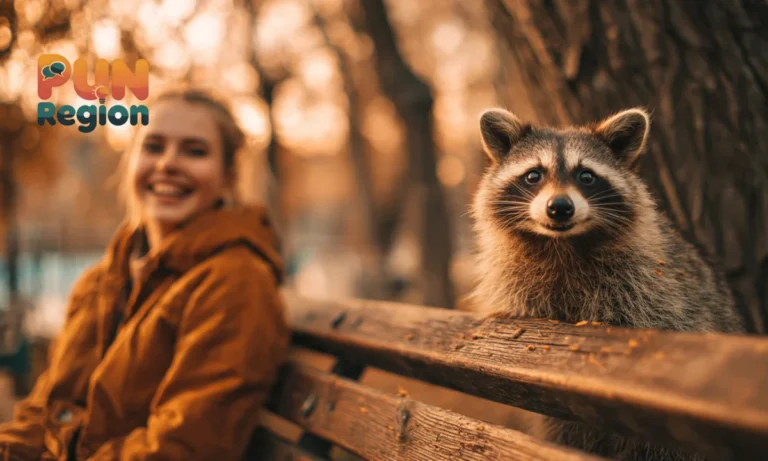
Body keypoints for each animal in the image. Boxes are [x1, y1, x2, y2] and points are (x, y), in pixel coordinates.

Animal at [470, 108, 744, 460]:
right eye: (533, 175)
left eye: (586, 176)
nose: (560, 207)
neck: (562, 244)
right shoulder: (519, 279)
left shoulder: (651, 285)